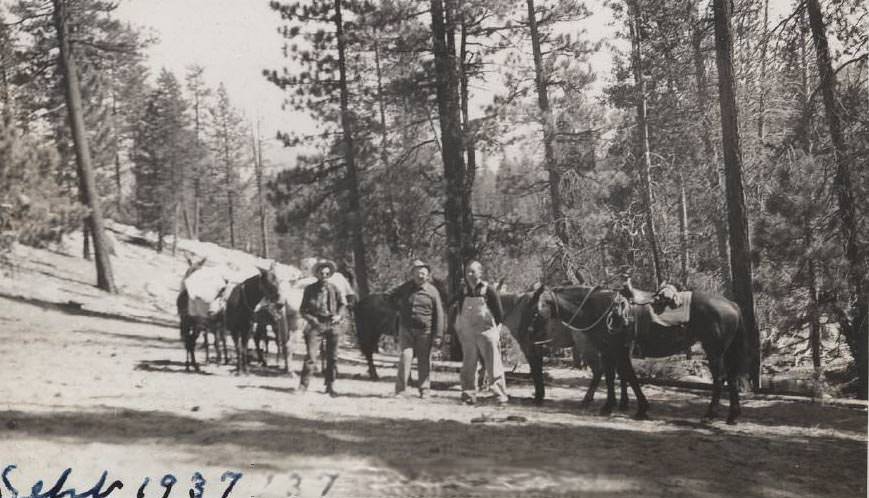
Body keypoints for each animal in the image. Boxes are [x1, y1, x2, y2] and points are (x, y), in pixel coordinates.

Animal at [524, 284, 748, 424]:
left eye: (535, 310)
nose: (529, 333)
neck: (602, 309)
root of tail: (732, 304)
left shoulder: (619, 350)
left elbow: (628, 377)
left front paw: (640, 408)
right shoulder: (609, 352)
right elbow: (614, 377)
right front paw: (610, 406)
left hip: (714, 350)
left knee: (719, 379)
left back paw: (710, 415)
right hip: (725, 352)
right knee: (732, 379)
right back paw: (732, 416)